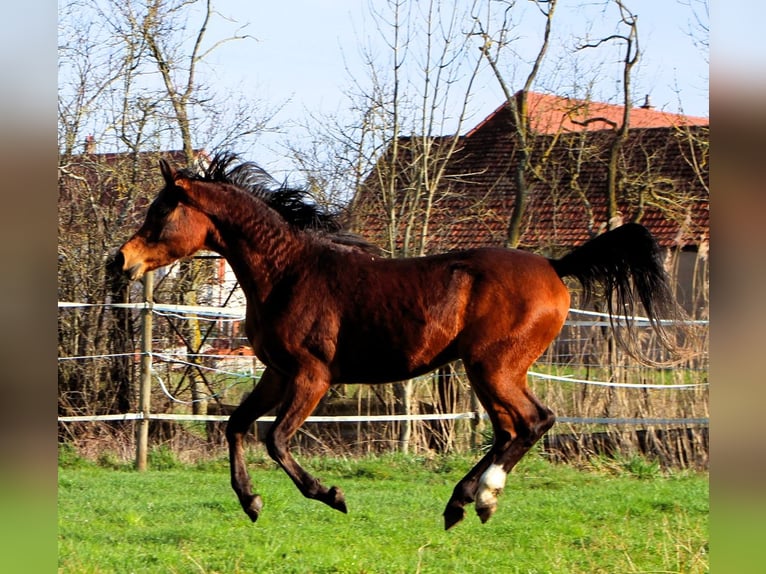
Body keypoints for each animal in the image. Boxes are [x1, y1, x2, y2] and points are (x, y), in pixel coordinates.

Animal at [111, 152, 681, 530]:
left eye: (161, 212)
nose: (121, 259)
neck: (288, 272)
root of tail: (555, 267)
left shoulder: (312, 376)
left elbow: (275, 438)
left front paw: (331, 495)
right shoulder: (275, 372)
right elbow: (236, 425)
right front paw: (250, 503)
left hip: (492, 366)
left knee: (533, 422)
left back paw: (482, 500)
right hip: (488, 370)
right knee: (509, 429)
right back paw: (460, 504)